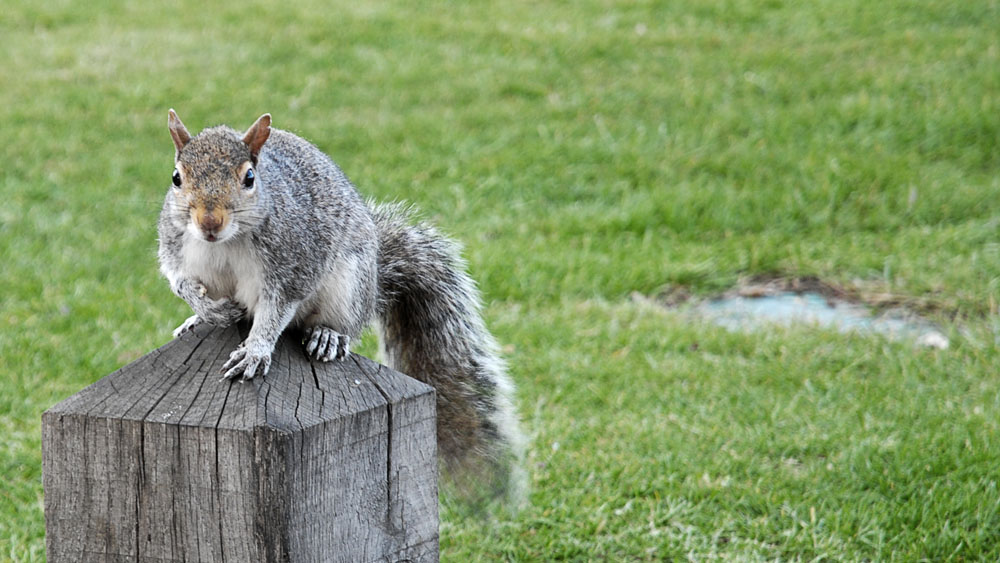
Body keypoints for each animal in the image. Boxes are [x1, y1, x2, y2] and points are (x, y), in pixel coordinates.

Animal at [158, 110, 524, 502]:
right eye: (177, 177)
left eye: (249, 178)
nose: (209, 222)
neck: (226, 241)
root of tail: (375, 285)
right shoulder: (176, 247)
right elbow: (179, 281)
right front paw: (206, 309)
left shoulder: (294, 265)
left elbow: (275, 311)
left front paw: (255, 350)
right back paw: (195, 321)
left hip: (350, 284)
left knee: (341, 323)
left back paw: (328, 335)